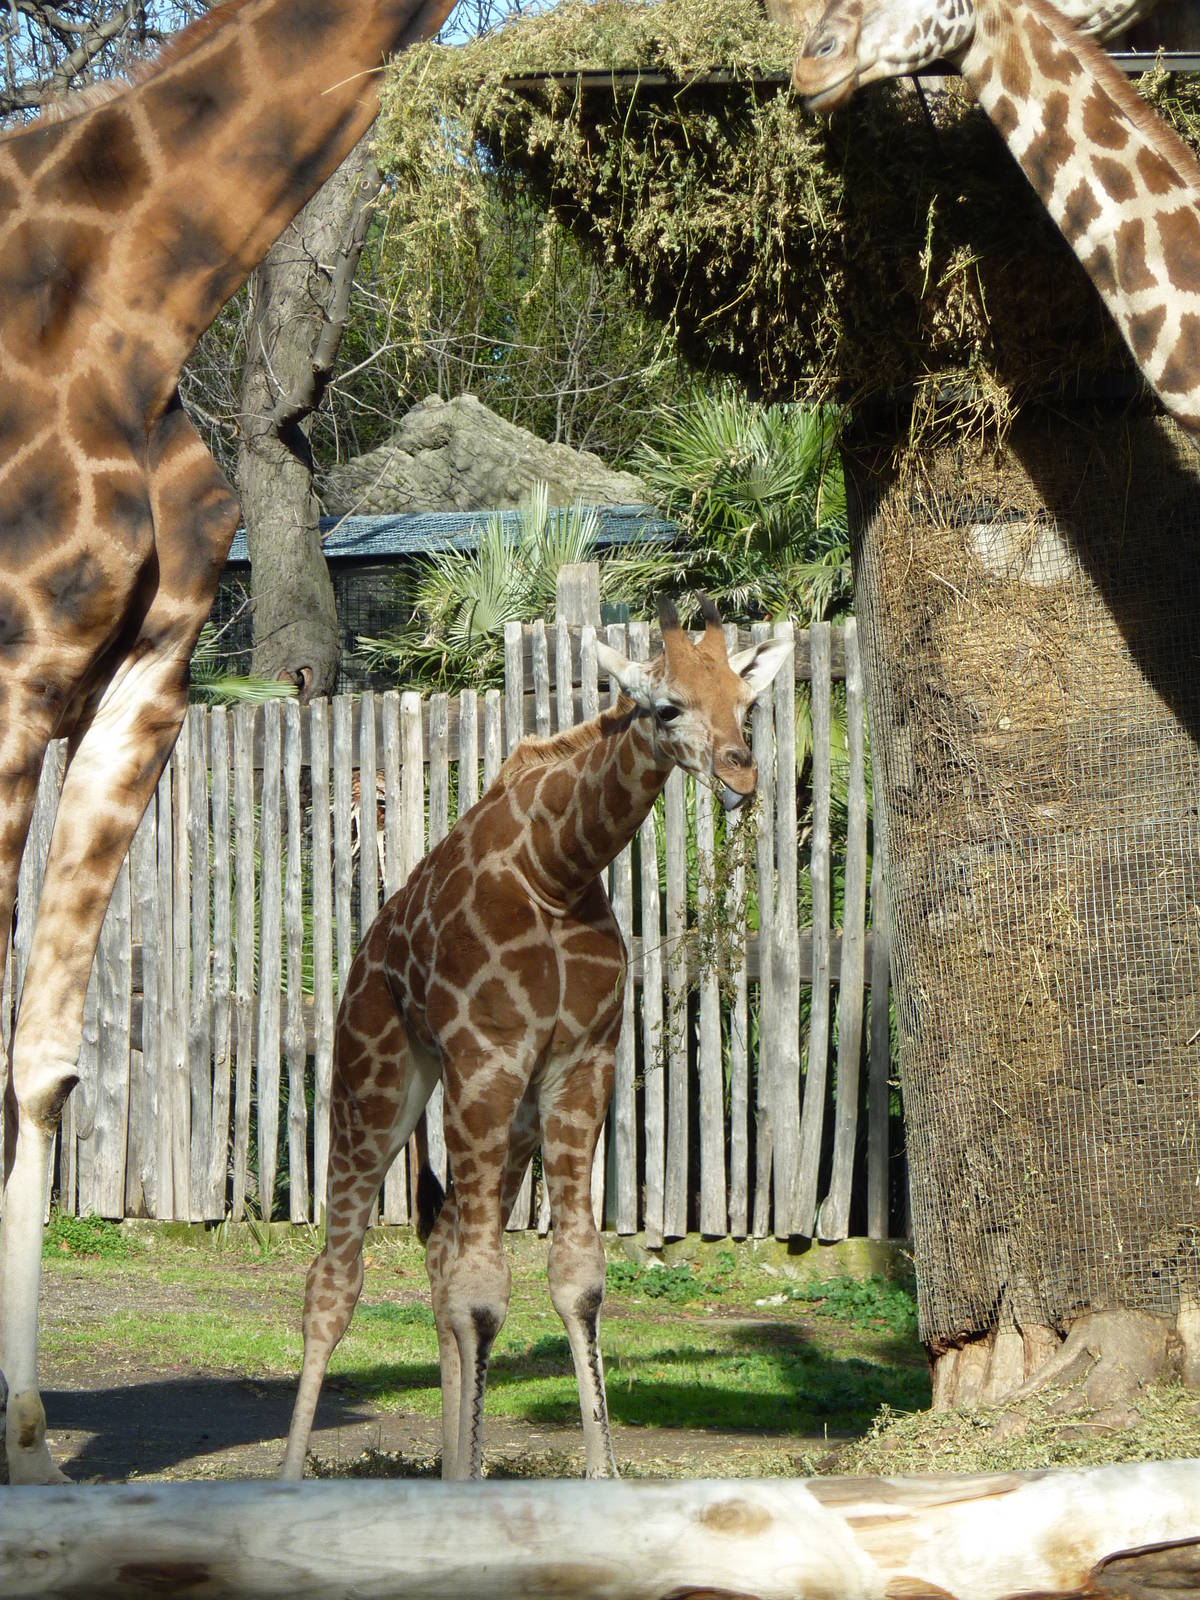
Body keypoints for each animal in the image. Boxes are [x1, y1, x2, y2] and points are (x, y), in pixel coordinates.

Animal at [281, 601, 791, 1481]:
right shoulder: (485, 1059)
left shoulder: (580, 1065)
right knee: (336, 1279)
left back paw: (451, 1468)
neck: (557, 868)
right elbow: (486, 1292)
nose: (740, 774)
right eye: (668, 707)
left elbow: (575, 1279)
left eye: (745, 703)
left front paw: (597, 1477)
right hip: (375, 1078)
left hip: (507, 1118)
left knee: (441, 1251)